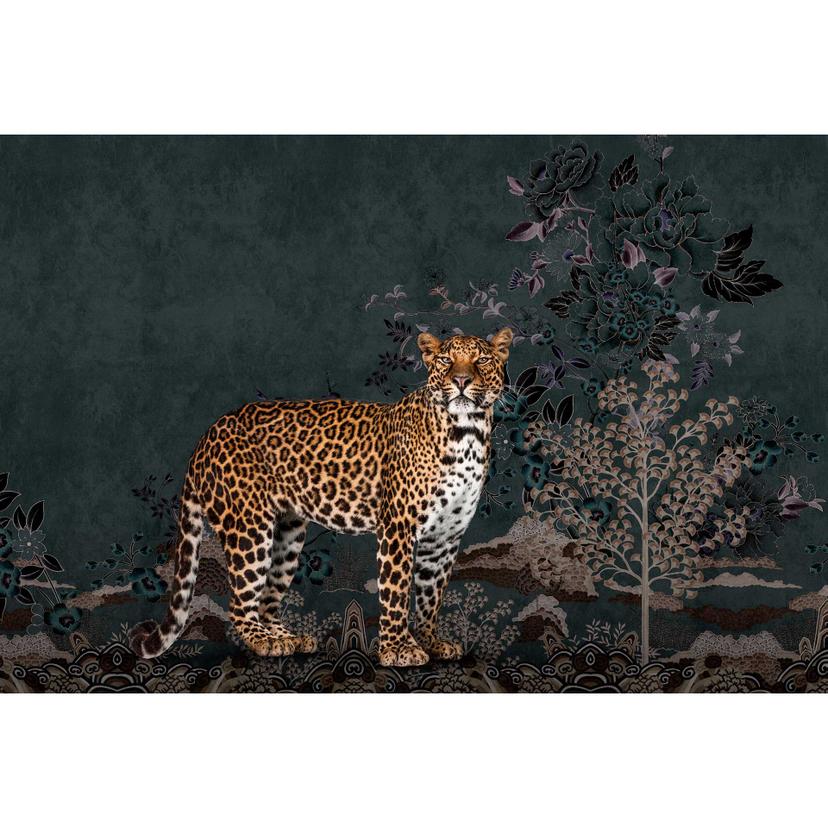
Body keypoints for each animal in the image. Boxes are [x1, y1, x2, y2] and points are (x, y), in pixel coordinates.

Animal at [129, 327, 512, 667]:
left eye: (481, 360)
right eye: (446, 360)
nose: (460, 380)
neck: (467, 433)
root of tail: (206, 435)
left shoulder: (445, 536)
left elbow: (431, 594)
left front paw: (431, 642)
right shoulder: (398, 528)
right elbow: (397, 591)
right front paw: (398, 649)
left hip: (288, 533)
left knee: (267, 598)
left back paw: (288, 638)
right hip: (248, 527)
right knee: (240, 604)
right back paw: (264, 642)